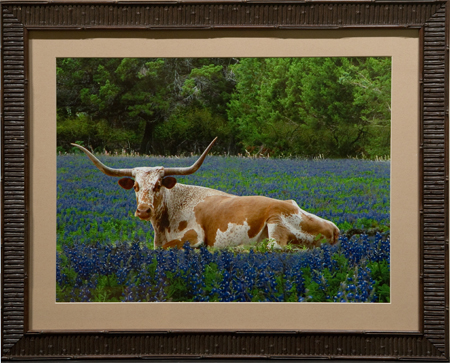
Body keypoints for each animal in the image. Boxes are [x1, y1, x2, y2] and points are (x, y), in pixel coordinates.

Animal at [71, 139, 338, 250]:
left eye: (158, 185)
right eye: (136, 186)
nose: (143, 210)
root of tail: (334, 228)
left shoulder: (193, 236)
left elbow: (167, 248)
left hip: (276, 219)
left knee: (274, 247)